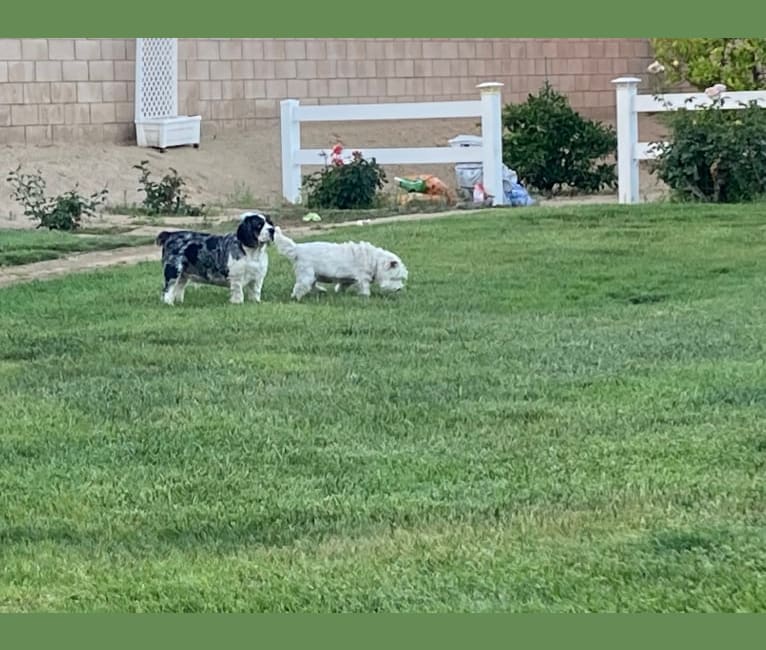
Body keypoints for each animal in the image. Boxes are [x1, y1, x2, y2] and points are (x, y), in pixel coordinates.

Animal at [272, 227, 412, 300]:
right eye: (395, 278)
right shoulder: (362, 277)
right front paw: (365, 297)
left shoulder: (347, 279)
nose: (399, 289)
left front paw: (339, 293)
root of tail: (297, 248)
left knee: (312, 286)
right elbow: (364, 287)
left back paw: (321, 291)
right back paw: (297, 297)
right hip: (307, 274)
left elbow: (342, 285)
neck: (375, 260)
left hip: (312, 275)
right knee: (301, 286)